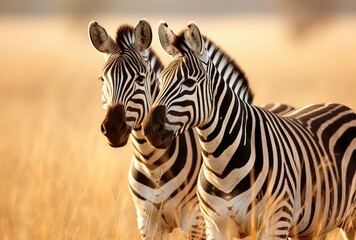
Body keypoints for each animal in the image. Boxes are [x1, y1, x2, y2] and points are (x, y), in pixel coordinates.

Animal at [88, 19, 206, 239]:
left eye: (140, 79)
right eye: (102, 80)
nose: (113, 128)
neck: (152, 163)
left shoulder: (195, 219)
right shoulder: (147, 221)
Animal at [143, 21, 356, 239]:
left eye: (189, 82)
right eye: (161, 80)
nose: (150, 128)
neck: (222, 169)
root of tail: (339, 105)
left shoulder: (276, 222)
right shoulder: (215, 225)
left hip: (349, 220)